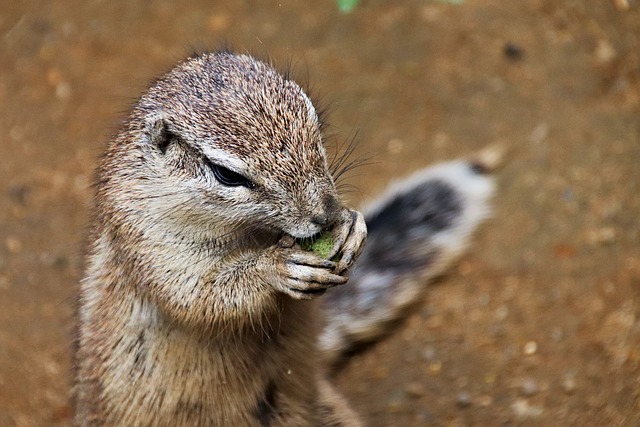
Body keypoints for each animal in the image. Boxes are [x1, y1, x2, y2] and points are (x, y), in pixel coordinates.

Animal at [74, 51, 496, 426]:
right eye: (227, 175)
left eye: (315, 125)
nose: (325, 213)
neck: (252, 233)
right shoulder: (147, 238)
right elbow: (199, 293)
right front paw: (275, 268)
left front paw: (351, 226)